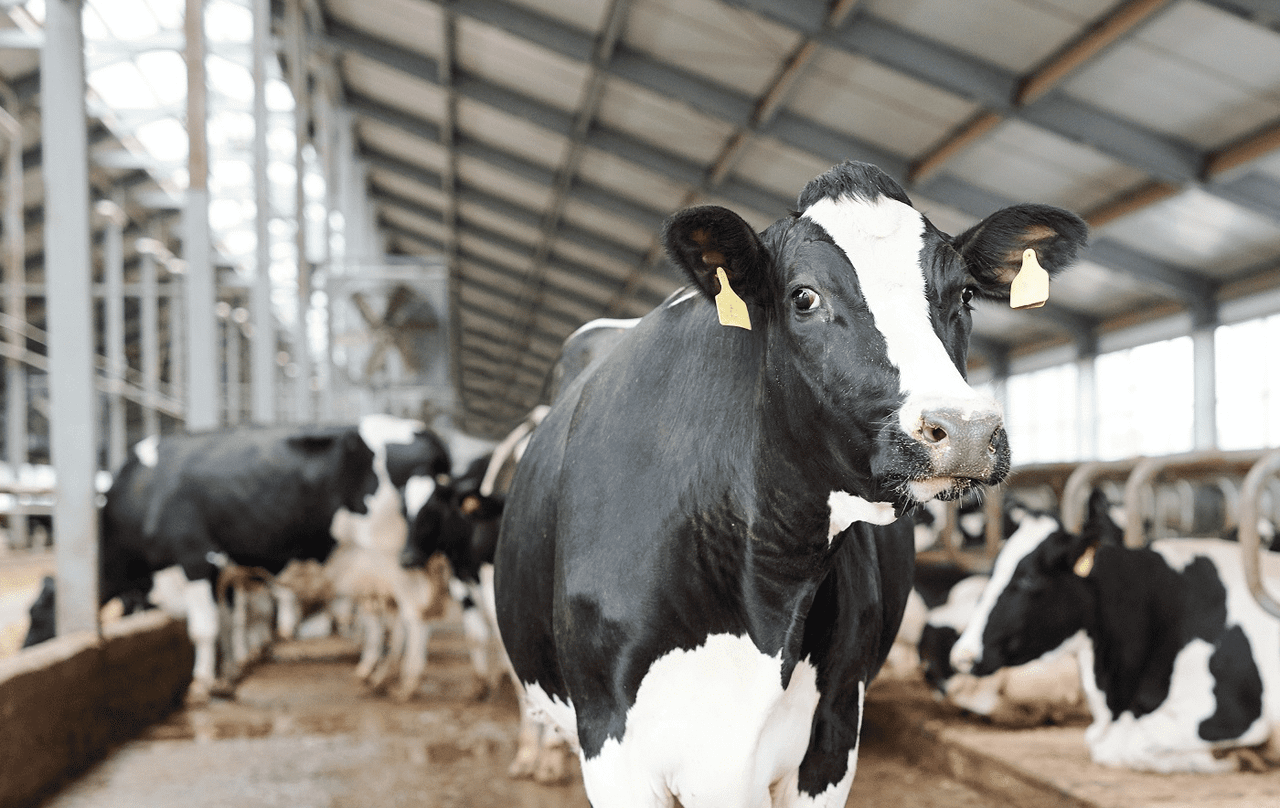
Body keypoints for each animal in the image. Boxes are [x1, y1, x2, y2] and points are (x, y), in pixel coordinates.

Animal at [493, 160, 1087, 806]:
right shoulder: (612, 748)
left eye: (967, 294)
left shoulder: (832, 734)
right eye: (804, 296)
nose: (967, 429)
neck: (765, 594)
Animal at [950, 488, 1280, 772]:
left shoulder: (1232, 716)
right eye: (992, 570)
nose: (962, 654)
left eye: (1029, 578)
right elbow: (1100, 742)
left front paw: (1236, 757)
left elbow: (1125, 745)